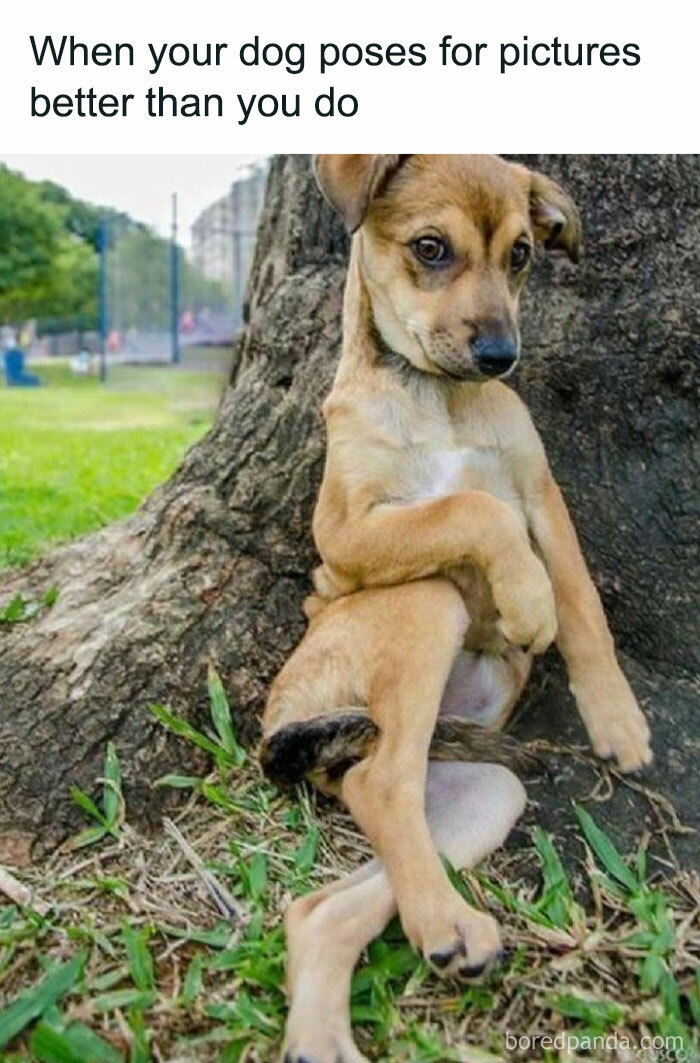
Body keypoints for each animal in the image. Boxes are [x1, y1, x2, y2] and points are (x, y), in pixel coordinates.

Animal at [260, 152, 654, 1063]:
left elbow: (581, 600)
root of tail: (284, 715)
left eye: (521, 255)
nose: (501, 355)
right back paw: (441, 922)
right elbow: (468, 510)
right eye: (430, 248)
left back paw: (374, 994)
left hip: (480, 796)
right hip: (423, 603)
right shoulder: (344, 534)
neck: (435, 395)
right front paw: (525, 600)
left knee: (323, 899)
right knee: (380, 782)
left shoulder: (542, 493)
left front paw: (617, 719)